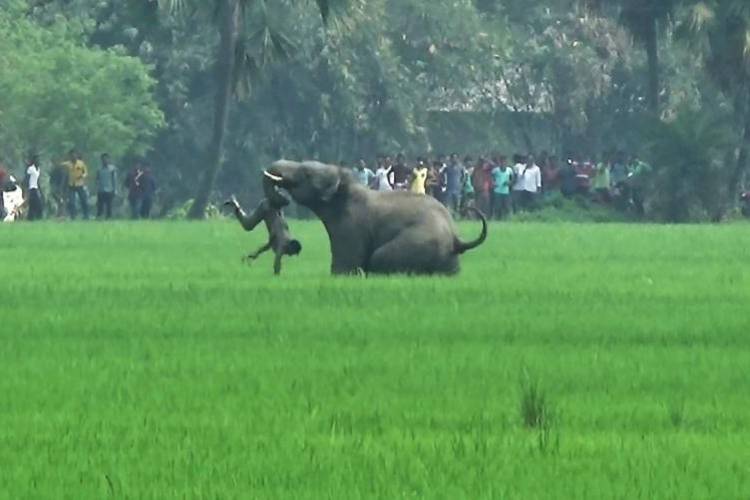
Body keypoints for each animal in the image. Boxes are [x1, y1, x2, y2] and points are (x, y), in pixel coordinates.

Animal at [264, 160, 488, 276]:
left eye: (305, 173)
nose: (280, 200)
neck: (345, 186)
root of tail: (457, 239)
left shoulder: (351, 226)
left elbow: (345, 266)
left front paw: (341, 275)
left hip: (419, 243)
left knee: (380, 256)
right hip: (449, 261)